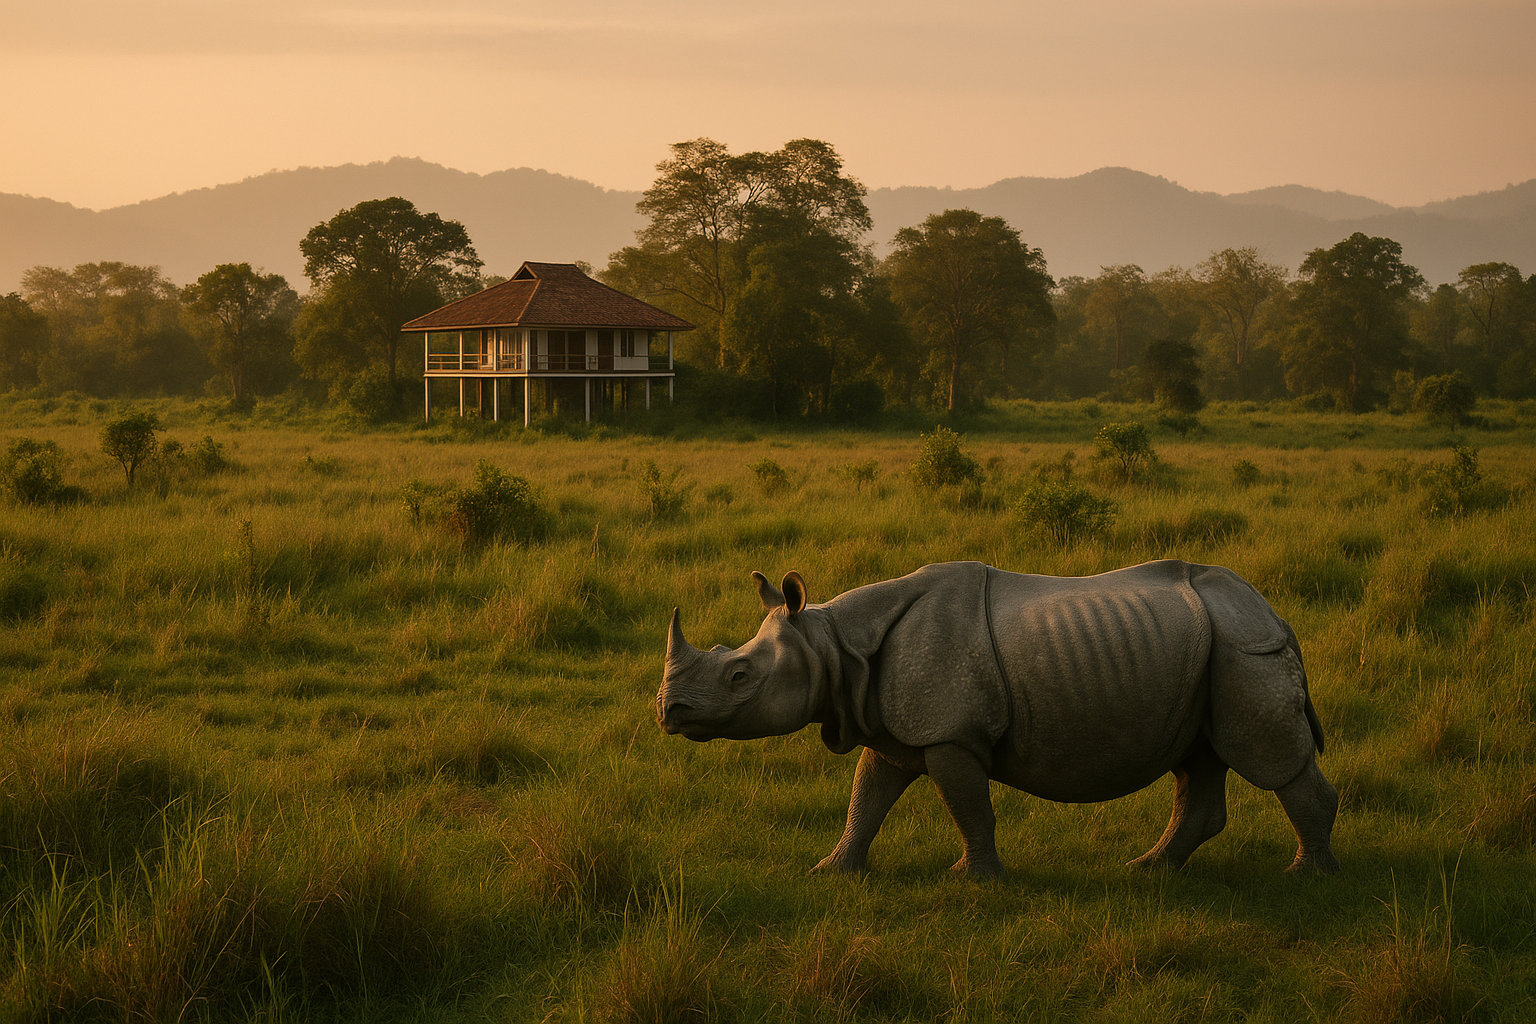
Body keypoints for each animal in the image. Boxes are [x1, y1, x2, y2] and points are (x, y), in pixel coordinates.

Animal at [657, 560, 1339, 877]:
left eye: (738, 675)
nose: (668, 712)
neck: (835, 645)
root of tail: (1275, 613)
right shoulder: (892, 727)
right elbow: (866, 797)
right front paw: (832, 870)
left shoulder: (951, 734)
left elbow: (968, 805)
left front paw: (974, 879)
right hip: (1213, 649)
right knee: (1197, 763)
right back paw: (1148, 870)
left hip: (1243, 647)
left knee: (1270, 761)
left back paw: (1305, 876)